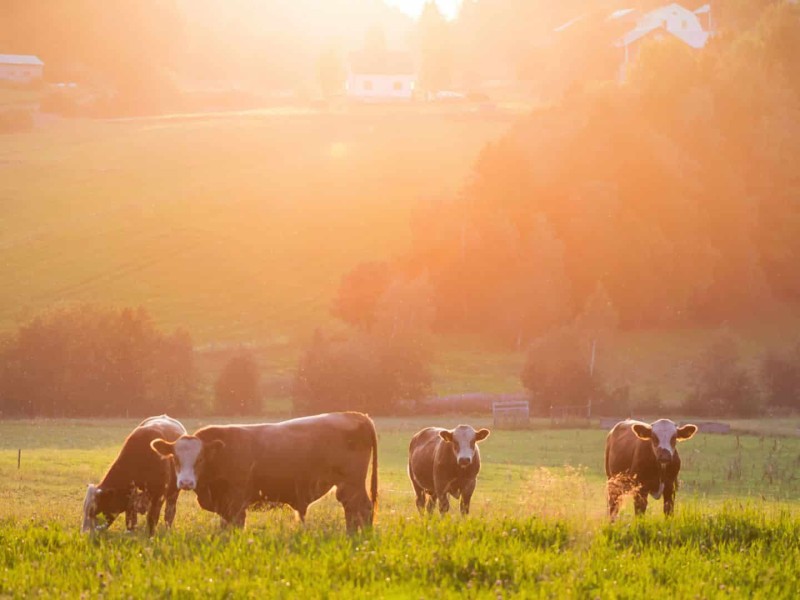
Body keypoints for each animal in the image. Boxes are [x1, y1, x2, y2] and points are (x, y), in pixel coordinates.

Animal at [150, 411, 378, 533]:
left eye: (200, 459)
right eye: (175, 459)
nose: (185, 483)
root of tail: (355, 415)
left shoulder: (236, 502)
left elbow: (236, 526)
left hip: (352, 483)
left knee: (363, 509)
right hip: (347, 487)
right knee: (352, 510)